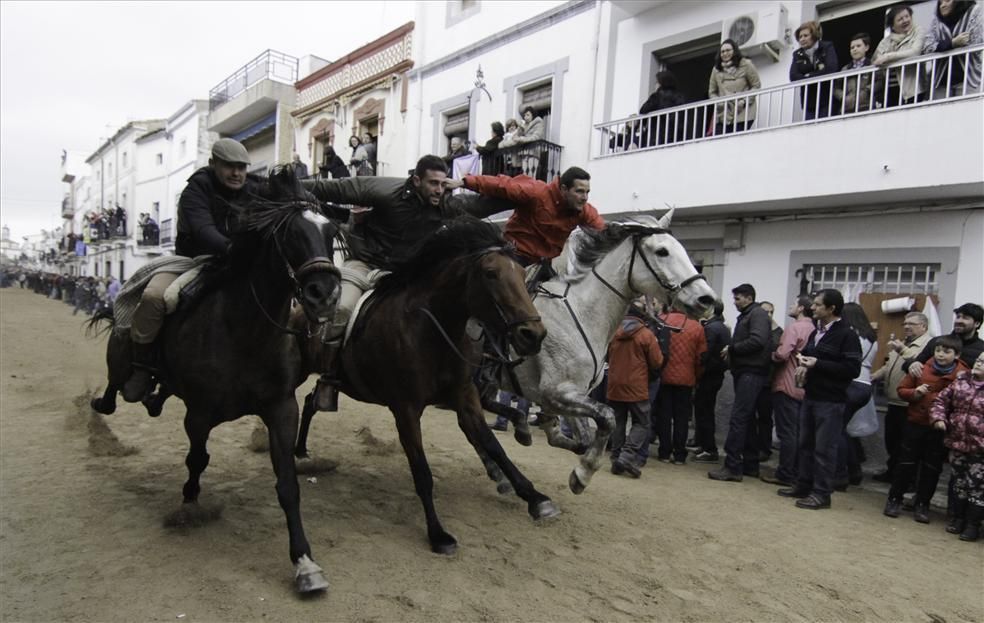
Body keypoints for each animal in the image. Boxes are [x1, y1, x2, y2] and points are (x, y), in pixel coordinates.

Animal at [85, 166, 346, 596]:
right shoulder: (200, 412)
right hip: (125, 358)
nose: (323, 295)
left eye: (330, 233)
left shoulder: (281, 408)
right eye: (290, 234)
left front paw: (305, 563)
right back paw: (104, 403)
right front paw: (190, 503)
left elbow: (287, 484)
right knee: (117, 386)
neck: (244, 330)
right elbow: (197, 458)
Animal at [306, 219, 552, 556]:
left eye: (520, 273)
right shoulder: (406, 409)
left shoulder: (465, 397)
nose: (533, 334)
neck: (431, 331)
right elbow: (422, 471)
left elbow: (493, 446)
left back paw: (300, 450)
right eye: (491, 273)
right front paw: (438, 533)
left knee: (308, 402)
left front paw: (534, 496)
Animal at [484, 210, 716, 498]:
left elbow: (579, 438)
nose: (707, 299)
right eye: (662, 251)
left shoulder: (571, 394)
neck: (582, 312)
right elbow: (607, 417)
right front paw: (582, 474)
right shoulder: (559, 391)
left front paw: (555, 438)